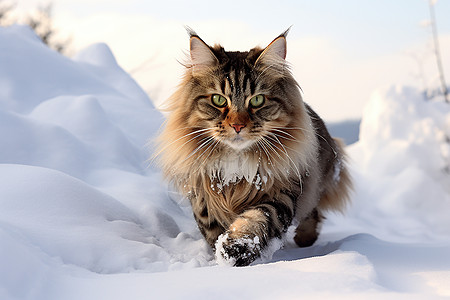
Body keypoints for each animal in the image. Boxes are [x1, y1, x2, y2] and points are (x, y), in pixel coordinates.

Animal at [156, 28, 352, 266]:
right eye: (218, 100)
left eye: (257, 100)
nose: (237, 125)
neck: (235, 163)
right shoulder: (202, 189)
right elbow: (209, 226)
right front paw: (218, 254)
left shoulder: (281, 193)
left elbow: (258, 218)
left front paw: (236, 249)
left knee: (312, 212)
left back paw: (305, 239)